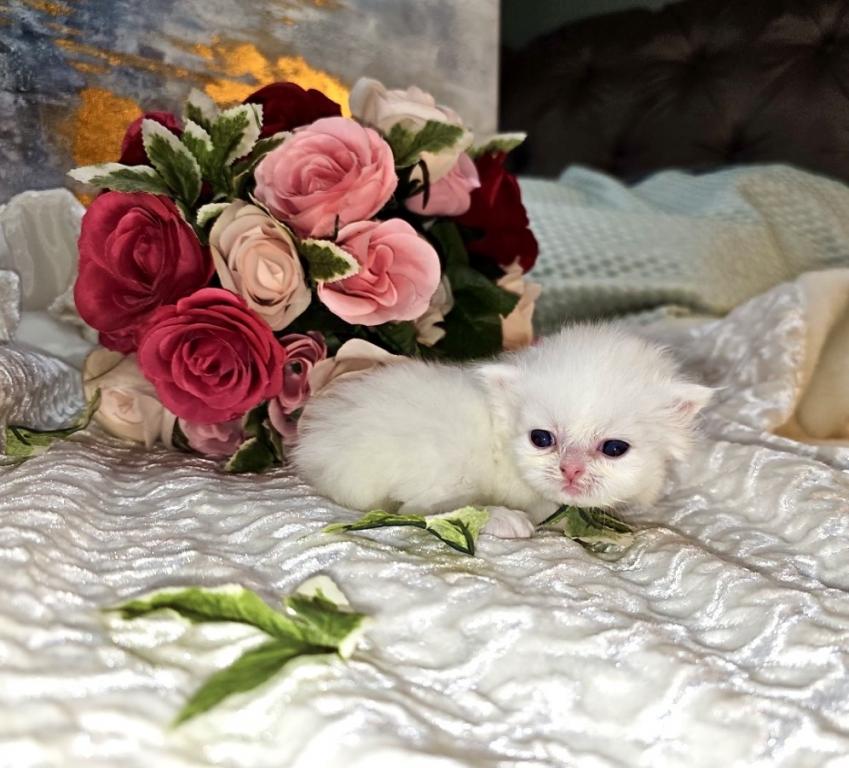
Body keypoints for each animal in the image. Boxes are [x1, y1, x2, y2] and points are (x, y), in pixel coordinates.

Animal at [292, 324, 713, 538]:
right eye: (541, 439)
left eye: (614, 449)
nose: (570, 470)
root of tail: (316, 444)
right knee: (421, 509)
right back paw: (501, 519)